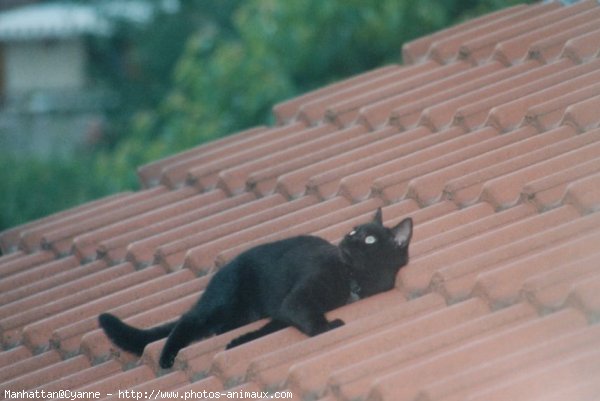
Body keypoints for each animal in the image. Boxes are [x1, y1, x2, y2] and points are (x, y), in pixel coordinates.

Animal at [97, 208, 412, 368]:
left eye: (369, 239)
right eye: (353, 231)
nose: (347, 239)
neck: (353, 279)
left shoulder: (282, 313)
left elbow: (262, 332)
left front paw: (237, 343)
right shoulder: (297, 300)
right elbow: (310, 318)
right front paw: (327, 326)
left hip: (237, 314)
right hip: (222, 303)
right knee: (188, 320)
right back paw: (166, 357)